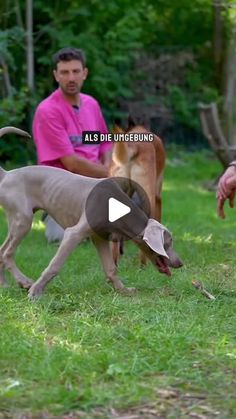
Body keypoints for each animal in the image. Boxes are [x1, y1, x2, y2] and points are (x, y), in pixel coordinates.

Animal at [0, 127, 183, 298]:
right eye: (168, 243)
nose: (180, 263)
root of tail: (7, 174)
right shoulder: (73, 234)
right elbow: (54, 265)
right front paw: (36, 291)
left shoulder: (99, 237)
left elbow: (111, 268)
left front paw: (123, 290)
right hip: (23, 219)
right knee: (8, 254)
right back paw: (25, 282)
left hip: (17, 220)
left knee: (2, 251)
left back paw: (5, 286)